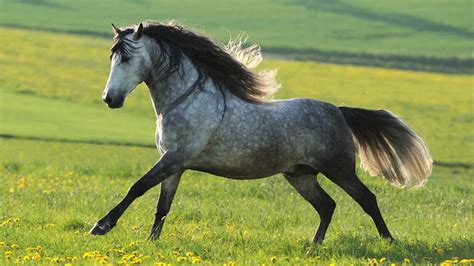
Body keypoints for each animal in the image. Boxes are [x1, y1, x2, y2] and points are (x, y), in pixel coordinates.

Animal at [90, 21, 434, 244]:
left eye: (127, 57)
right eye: (112, 57)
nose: (110, 99)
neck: (185, 99)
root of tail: (338, 111)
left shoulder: (175, 158)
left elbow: (137, 187)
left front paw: (102, 225)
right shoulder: (174, 165)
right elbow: (162, 206)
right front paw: (152, 241)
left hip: (338, 169)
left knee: (367, 199)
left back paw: (389, 240)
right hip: (300, 175)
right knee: (327, 206)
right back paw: (313, 245)